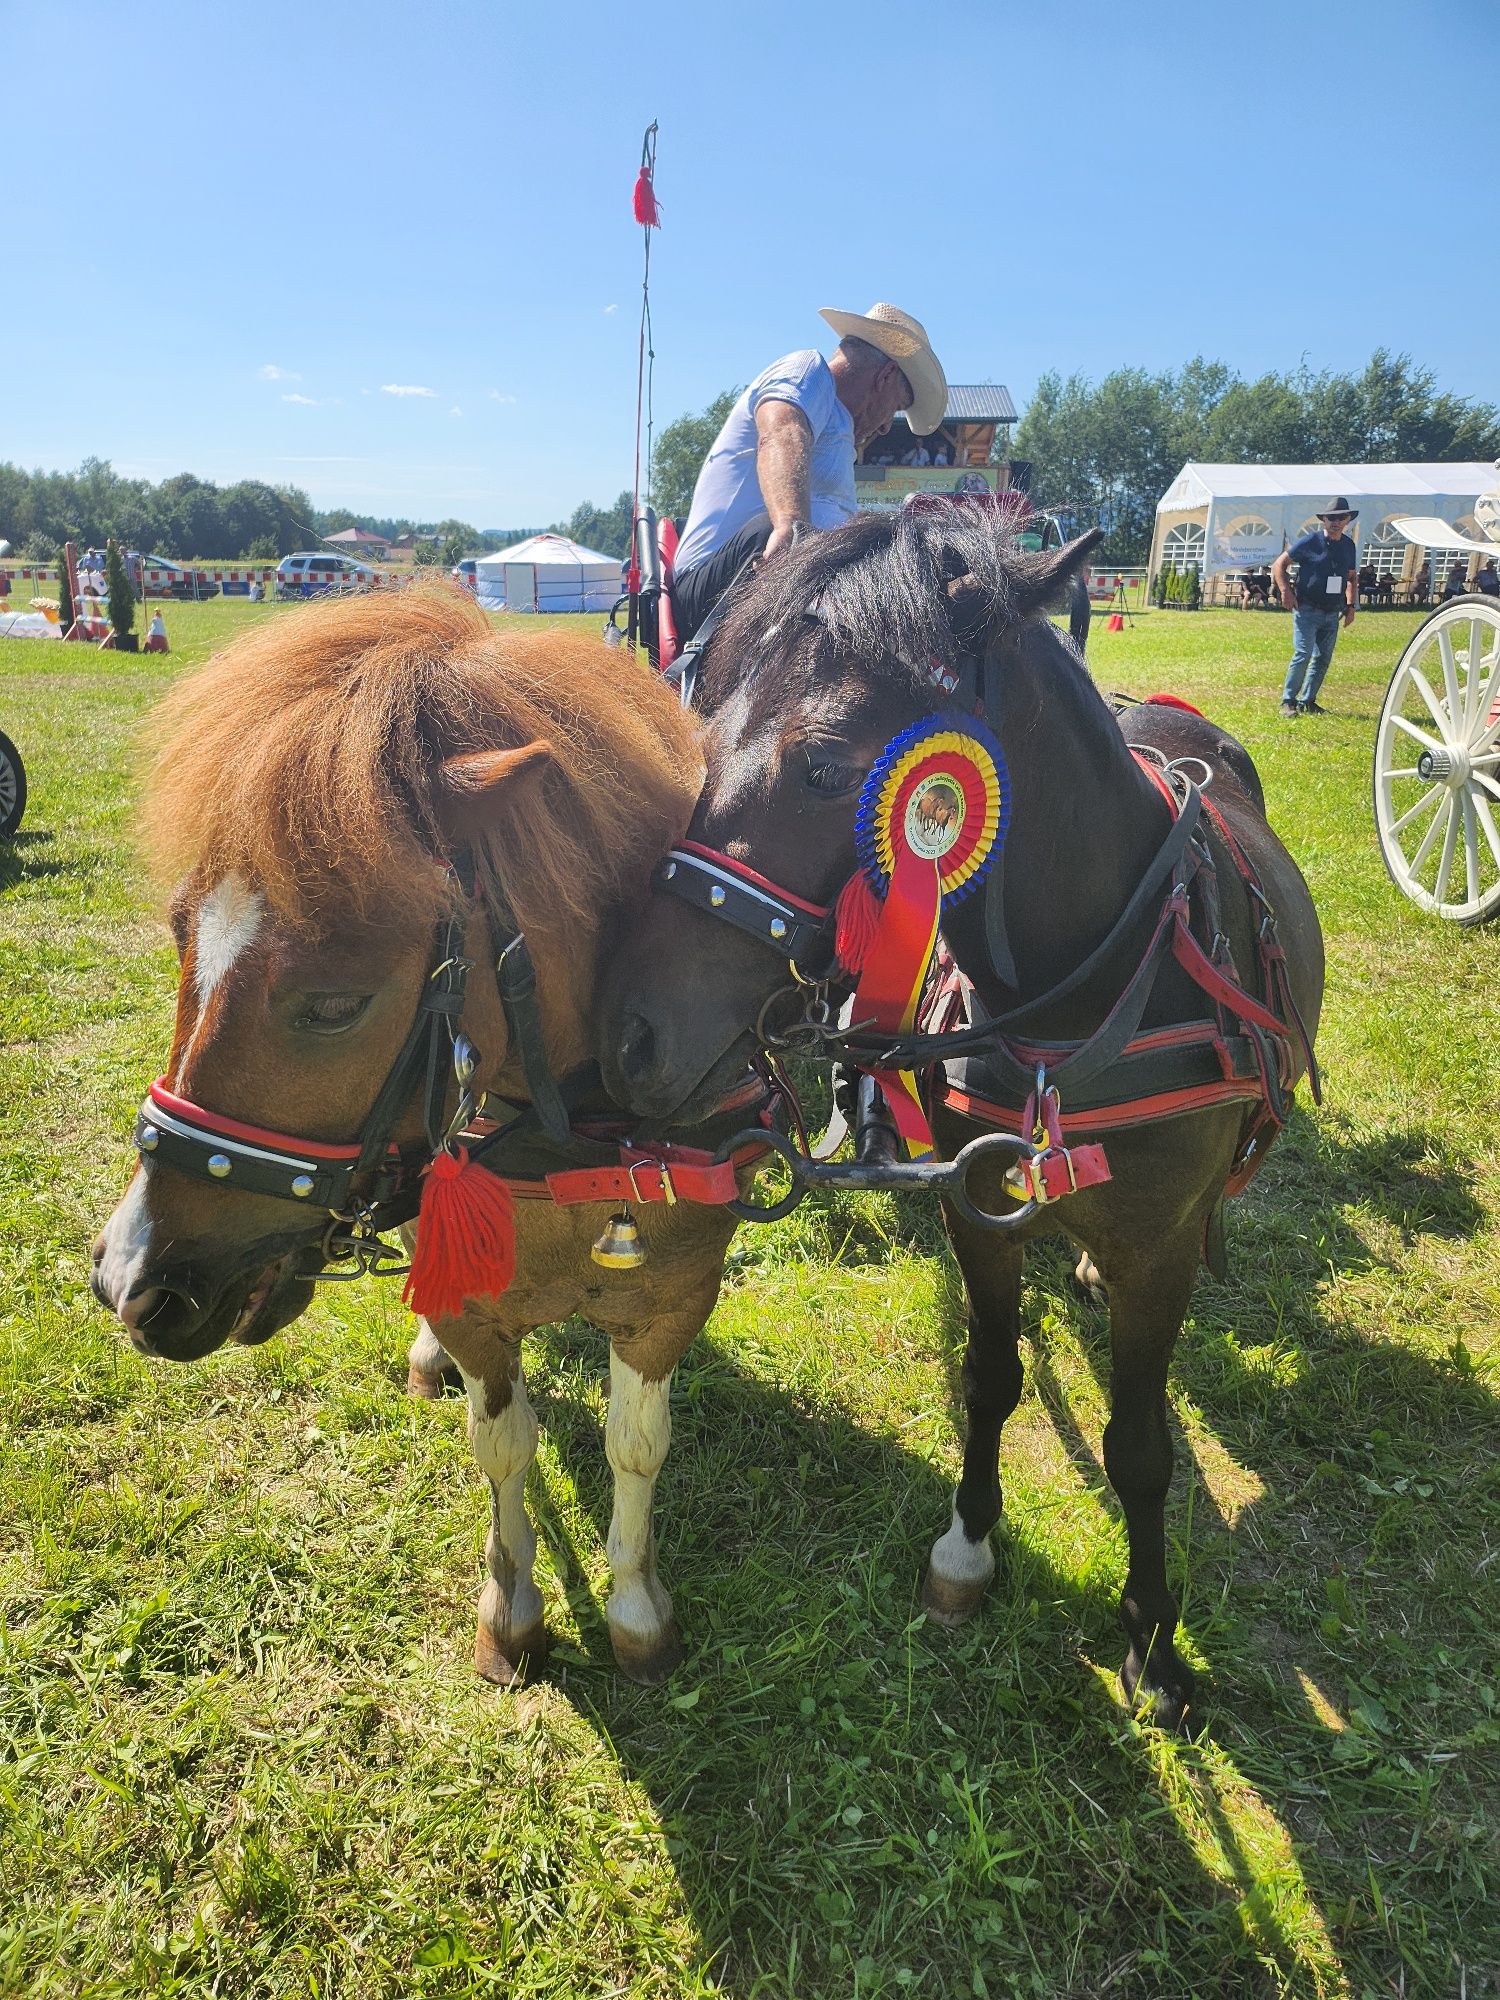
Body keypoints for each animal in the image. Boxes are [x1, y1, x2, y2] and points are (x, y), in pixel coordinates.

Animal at [91, 584, 744, 1688]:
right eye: (180, 934)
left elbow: (636, 1444)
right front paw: (513, 1611)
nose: (130, 1276)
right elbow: (504, 1444)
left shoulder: (673, 1299)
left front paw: (635, 1608)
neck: (572, 1141)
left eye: (334, 1004)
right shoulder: (476, 1302)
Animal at [600, 496, 1328, 1720]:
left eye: (825, 762)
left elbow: (1140, 1446)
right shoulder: (976, 1208)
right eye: (697, 715)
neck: (1083, 999)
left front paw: (1153, 1636)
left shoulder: (1155, 1248)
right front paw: (968, 1548)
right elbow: (989, 1379)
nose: (631, 1033)